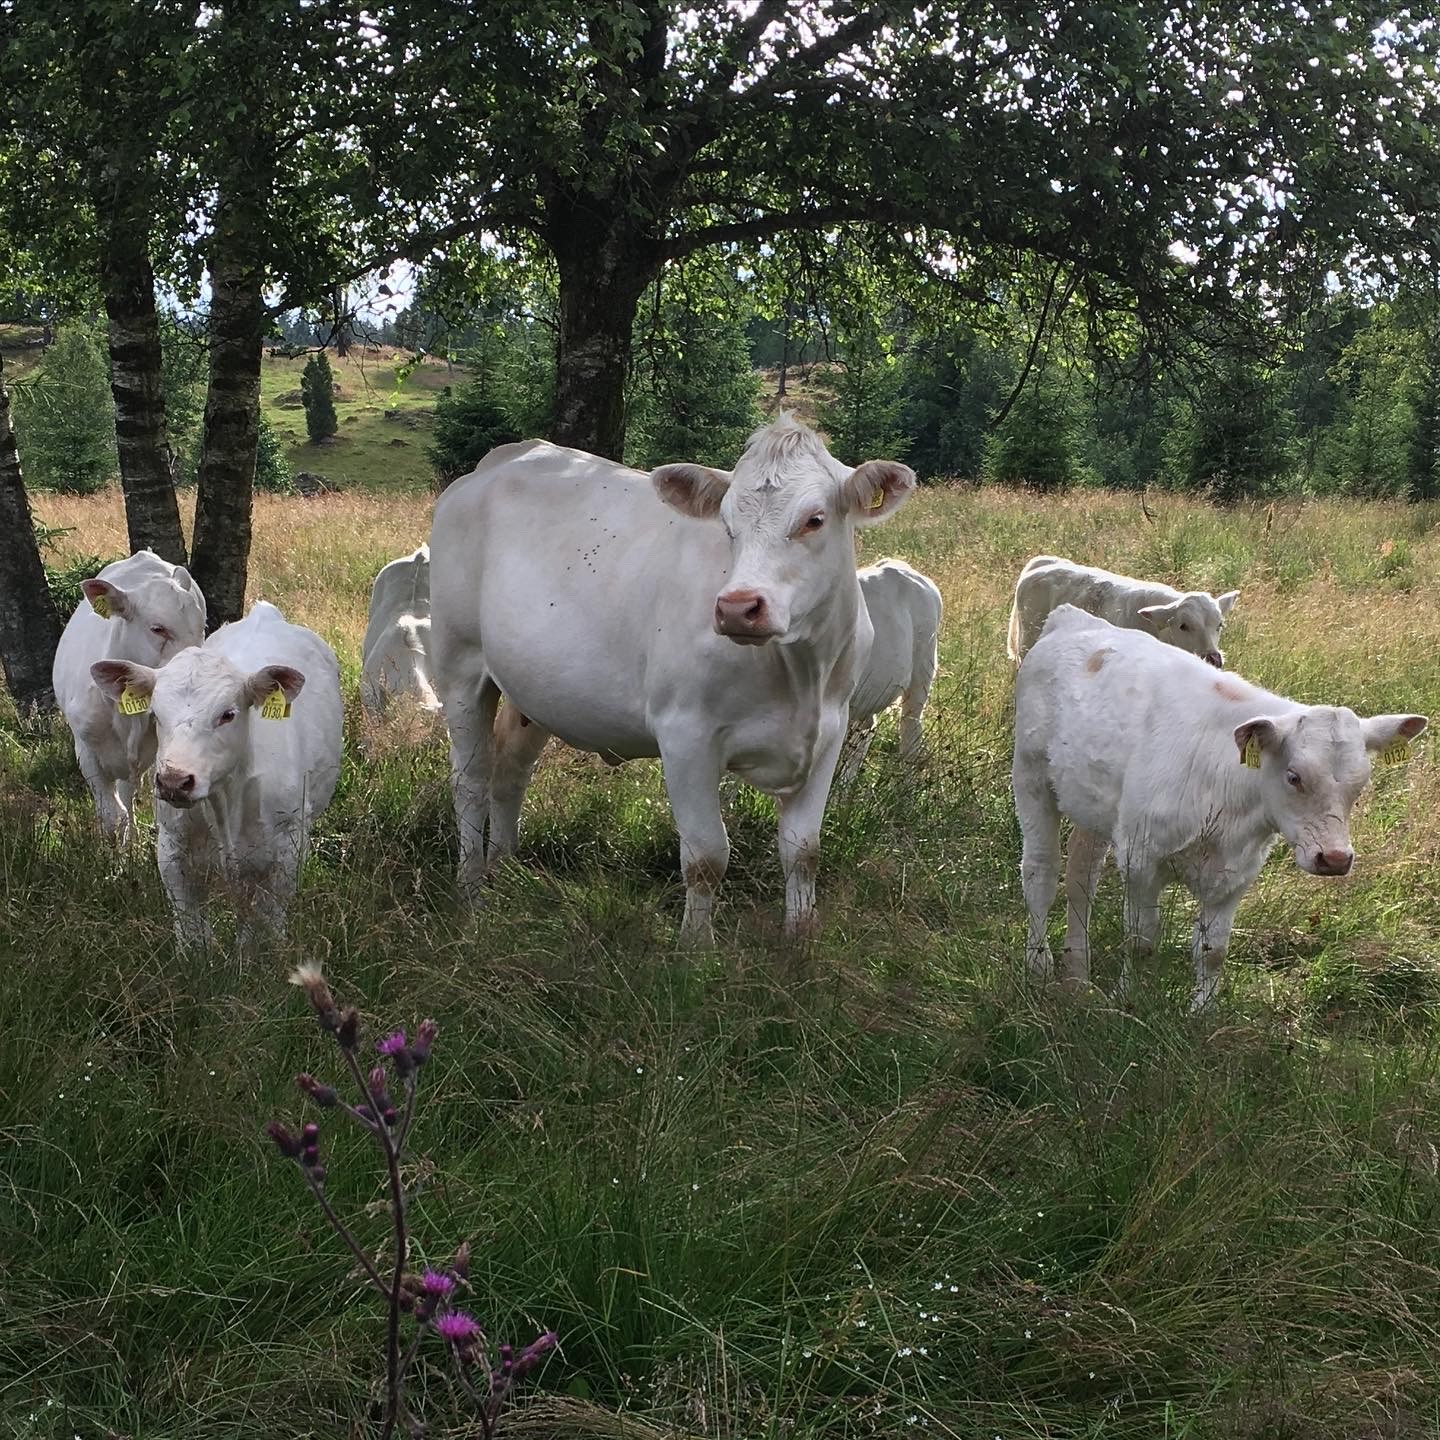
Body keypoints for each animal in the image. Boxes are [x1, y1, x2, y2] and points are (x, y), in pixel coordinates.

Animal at [90, 600, 342, 949]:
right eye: (155, 714)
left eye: (227, 714)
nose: (174, 780)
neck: (224, 804)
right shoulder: (172, 851)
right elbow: (191, 932)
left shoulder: (285, 852)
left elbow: (264, 925)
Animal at [429, 414, 916, 941]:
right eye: (727, 525)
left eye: (814, 519)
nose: (738, 607)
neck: (800, 672)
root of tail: (507, 456)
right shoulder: (686, 734)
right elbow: (706, 857)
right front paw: (696, 948)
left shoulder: (830, 730)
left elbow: (802, 851)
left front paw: (799, 937)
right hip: (461, 667)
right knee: (471, 781)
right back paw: (471, 892)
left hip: (530, 690)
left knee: (510, 773)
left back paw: (503, 872)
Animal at [1012, 605, 1427, 1010]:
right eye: (1294, 776)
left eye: (1361, 784)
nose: (1336, 858)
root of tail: (1072, 616)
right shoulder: (1139, 857)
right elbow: (1140, 942)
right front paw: (1126, 999)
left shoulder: (1237, 875)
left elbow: (1213, 951)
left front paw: (1202, 1012)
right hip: (1031, 778)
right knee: (1041, 872)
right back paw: (1038, 965)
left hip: (1092, 806)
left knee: (1081, 876)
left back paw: (1077, 977)